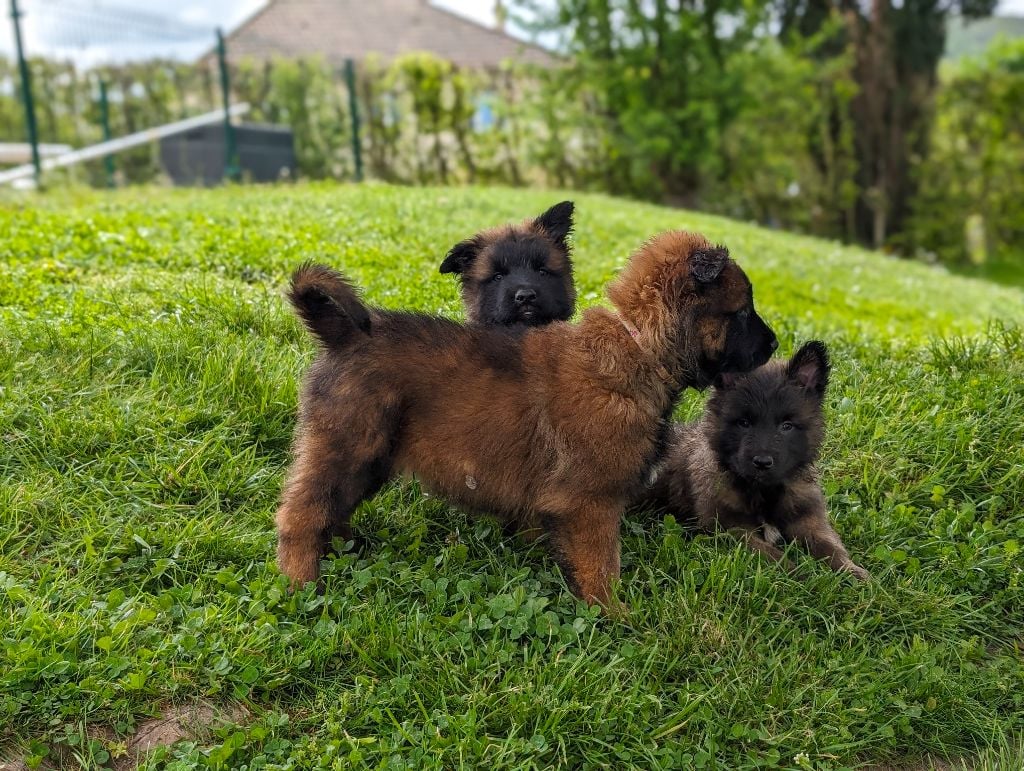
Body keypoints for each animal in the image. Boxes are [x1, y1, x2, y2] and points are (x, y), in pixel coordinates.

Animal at [274, 231, 774, 606]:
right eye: (742, 312)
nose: (773, 345)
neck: (638, 346)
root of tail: (344, 335)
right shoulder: (591, 502)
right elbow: (601, 566)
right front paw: (614, 617)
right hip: (349, 444)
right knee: (302, 512)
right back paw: (303, 583)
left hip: (367, 456)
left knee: (333, 506)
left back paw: (344, 551)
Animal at [643, 339, 868, 581]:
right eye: (744, 423)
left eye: (786, 426)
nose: (762, 462)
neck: (763, 490)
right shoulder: (732, 529)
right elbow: (773, 556)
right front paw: (803, 576)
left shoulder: (809, 520)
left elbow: (830, 546)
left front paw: (852, 572)